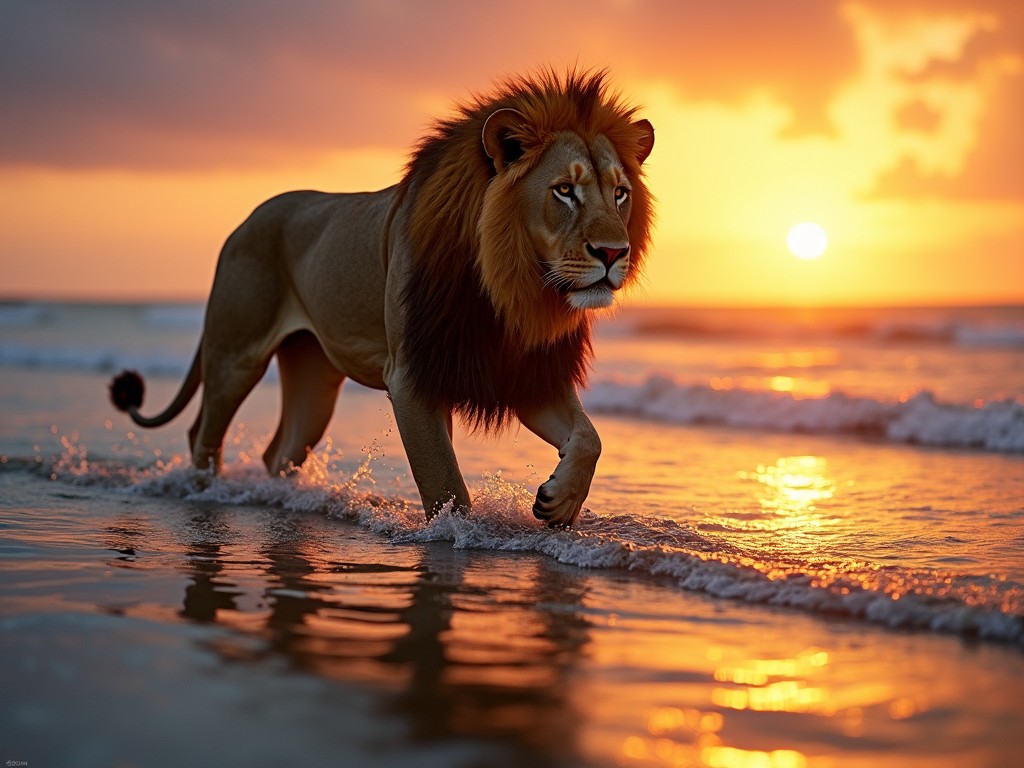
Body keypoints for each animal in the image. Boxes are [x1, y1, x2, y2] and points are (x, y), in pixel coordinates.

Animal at [110, 70, 655, 528]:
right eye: (564, 191)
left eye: (620, 193)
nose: (613, 253)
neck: (510, 287)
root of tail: (242, 224)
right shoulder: (411, 375)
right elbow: (445, 483)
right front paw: (460, 536)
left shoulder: (522, 374)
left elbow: (590, 438)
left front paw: (559, 500)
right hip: (235, 357)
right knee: (203, 436)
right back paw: (206, 495)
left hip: (313, 379)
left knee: (279, 451)